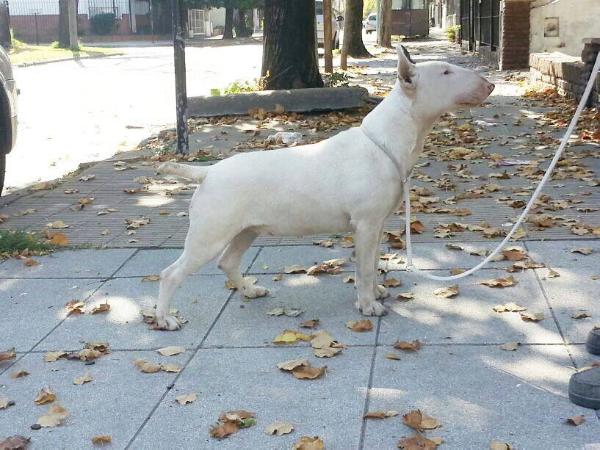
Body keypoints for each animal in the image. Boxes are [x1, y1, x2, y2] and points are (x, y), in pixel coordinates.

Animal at [156, 45, 496, 330]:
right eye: (445, 72)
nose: (490, 85)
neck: (386, 141)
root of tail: (208, 173)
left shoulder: (377, 224)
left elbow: (373, 262)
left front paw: (376, 293)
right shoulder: (366, 224)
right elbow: (364, 268)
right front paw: (368, 306)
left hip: (246, 230)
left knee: (227, 261)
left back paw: (251, 290)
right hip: (210, 233)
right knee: (171, 273)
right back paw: (165, 319)